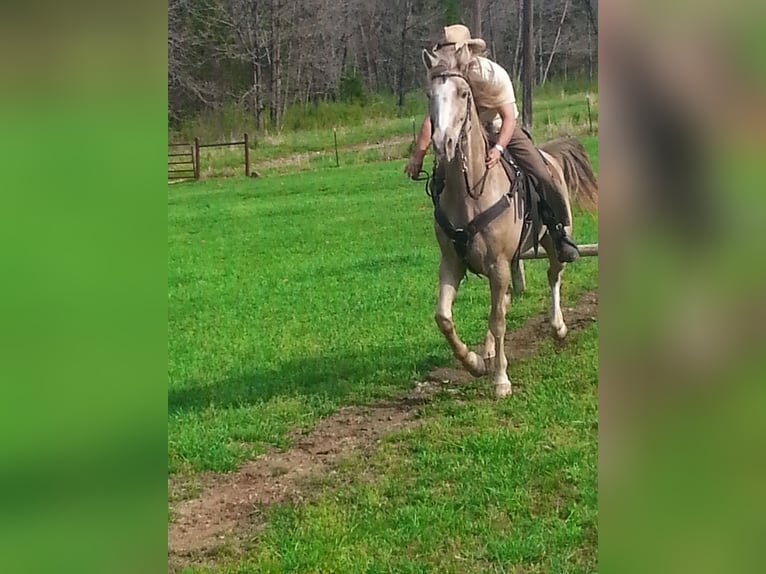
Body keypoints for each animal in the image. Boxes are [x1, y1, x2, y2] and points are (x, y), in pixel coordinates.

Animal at [422, 47, 598, 398]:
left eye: (464, 94)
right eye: (430, 95)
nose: (443, 143)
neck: (472, 191)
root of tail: (549, 154)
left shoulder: (500, 263)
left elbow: (499, 320)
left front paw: (501, 380)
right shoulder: (453, 262)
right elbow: (444, 318)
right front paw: (474, 362)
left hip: (552, 243)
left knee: (553, 275)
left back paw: (557, 326)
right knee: (500, 302)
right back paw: (488, 351)